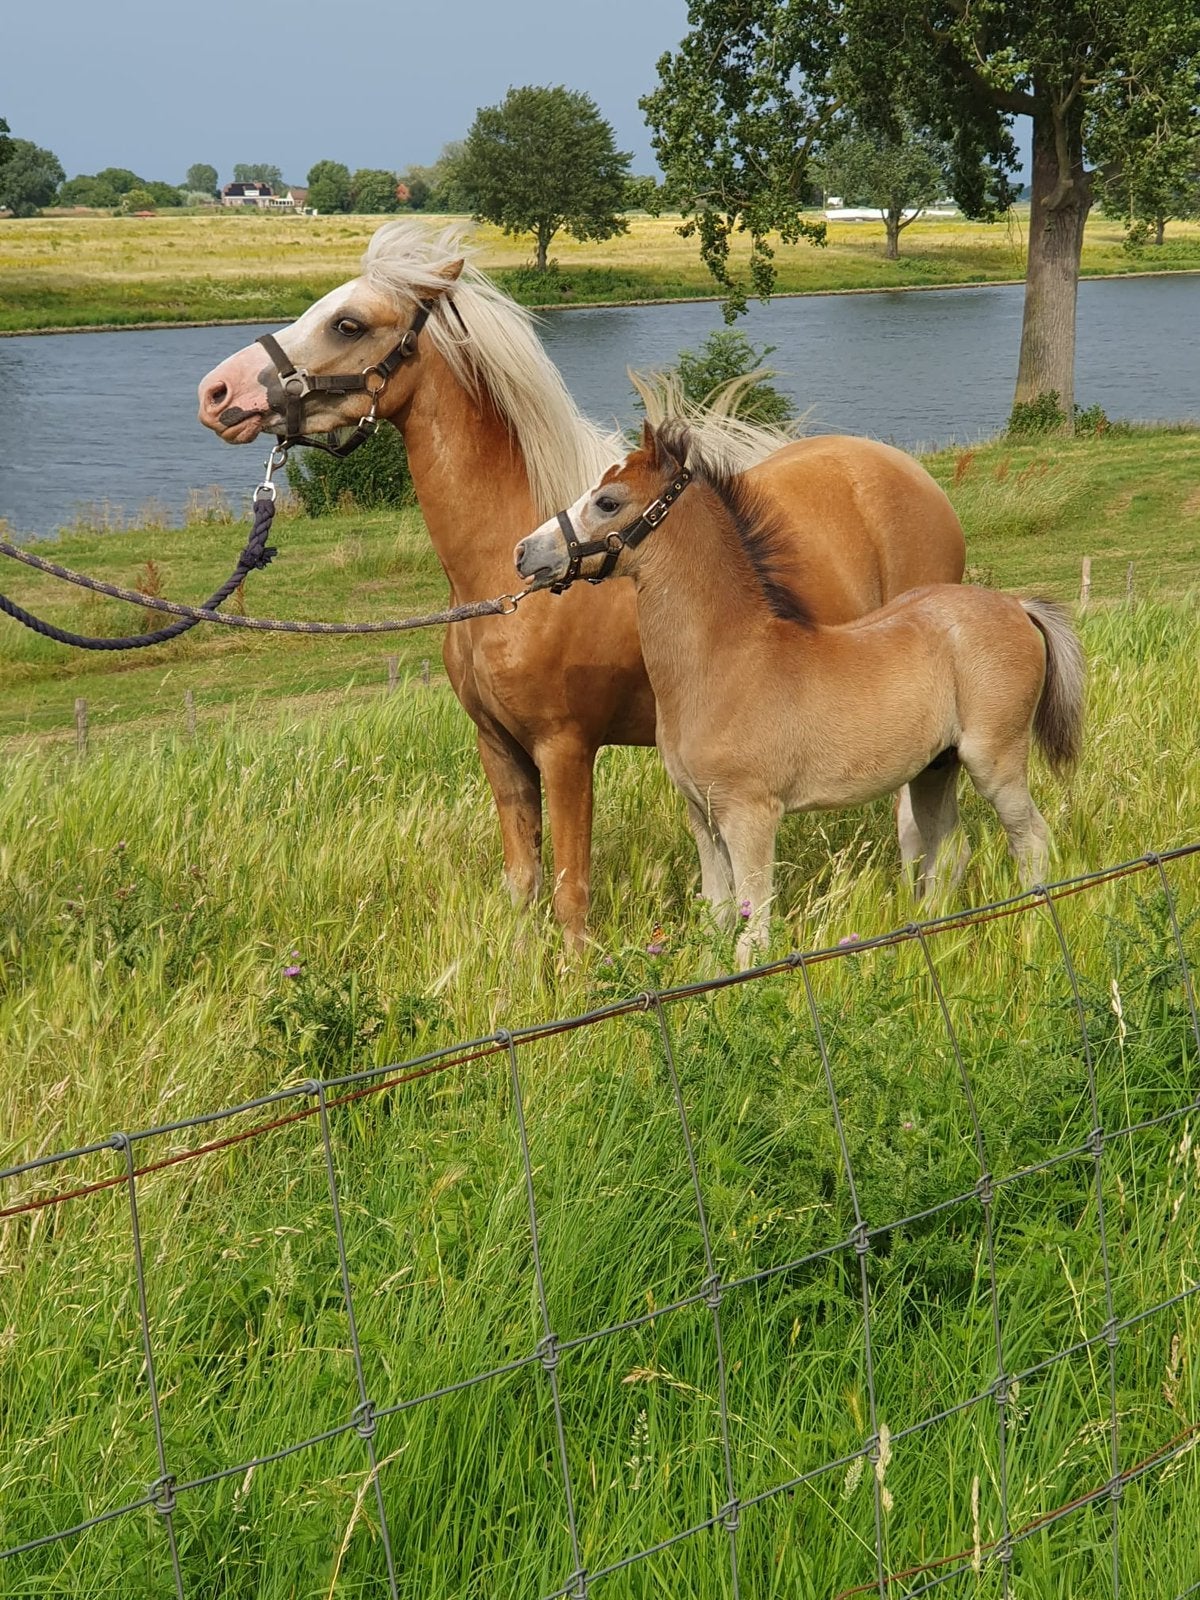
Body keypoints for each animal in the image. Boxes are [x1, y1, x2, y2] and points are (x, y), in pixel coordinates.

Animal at [197, 220, 966, 947]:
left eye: (348, 324)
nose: (217, 393)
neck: (504, 581)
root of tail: (914, 478)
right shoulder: (500, 751)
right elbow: (523, 883)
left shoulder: (565, 749)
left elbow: (571, 892)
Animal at [514, 419, 1085, 965]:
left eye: (608, 501)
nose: (525, 553)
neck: (727, 661)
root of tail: (1015, 606)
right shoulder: (703, 816)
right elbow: (717, 920)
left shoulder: (749, 813)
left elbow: (753, 933)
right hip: (934, 768)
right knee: (949, 854)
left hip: (994, 760)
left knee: (1032, 843)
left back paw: (1034, 932)